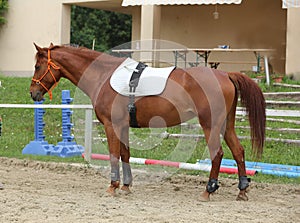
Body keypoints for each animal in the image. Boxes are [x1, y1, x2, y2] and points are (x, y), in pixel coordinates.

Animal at [30, 43, 264, 200]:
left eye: (38, 66)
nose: (33, 93)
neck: (103, 75)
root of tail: (225, 74)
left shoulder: (111, 125)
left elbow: (114, 154)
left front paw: (113, 186)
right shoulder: (123, 126)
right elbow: (125, 154)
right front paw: (126, 186)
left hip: (211, 125)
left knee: (218, 154)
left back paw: (208, 190)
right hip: (227, 125)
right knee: (238, 151)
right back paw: (242, 190)